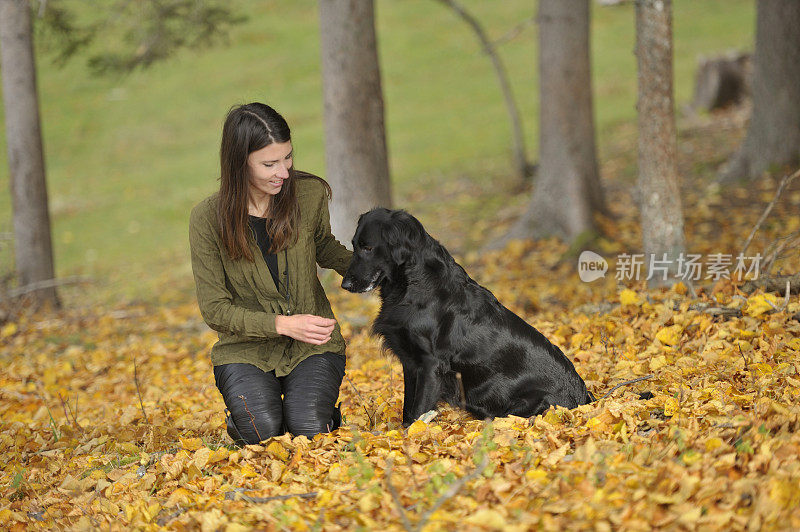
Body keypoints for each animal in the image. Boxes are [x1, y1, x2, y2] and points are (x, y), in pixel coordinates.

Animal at [340, 206, 596, 426]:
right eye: (354, 245)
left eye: (367, 247)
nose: (345, 284)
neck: (413, 284)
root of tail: (583, 395)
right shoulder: (410, 362)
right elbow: (407, 408)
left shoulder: (430, 363)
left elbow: (418, 411)